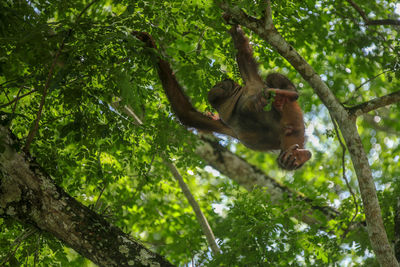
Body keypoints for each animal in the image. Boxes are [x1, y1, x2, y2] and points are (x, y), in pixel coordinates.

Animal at [133, 25, 310, 171]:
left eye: (221, 83)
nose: (215, 86)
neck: (234, 101)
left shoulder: (252, 83)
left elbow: (242, 53)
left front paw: (234, 26)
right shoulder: (224, 122)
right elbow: (187, 114)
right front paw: (149, 44)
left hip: (293, 114)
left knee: (274, 81)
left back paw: (285, 96)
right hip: (290, 139)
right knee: (284, 158)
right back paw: (297, 157)